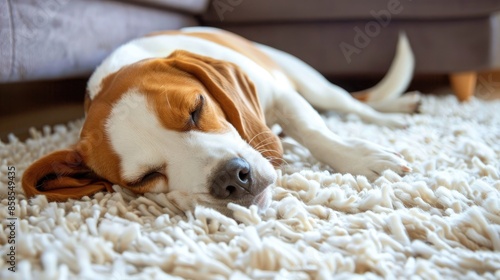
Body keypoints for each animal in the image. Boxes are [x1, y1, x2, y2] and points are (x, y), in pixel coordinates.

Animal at [21, 26, 416, 214]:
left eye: (196, 109)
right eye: (146, 177)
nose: (233, 178)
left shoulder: (282, 94)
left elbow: (316, 132)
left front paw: (362, 159)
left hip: (308, 80)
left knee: (353, 105)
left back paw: (394, 115)